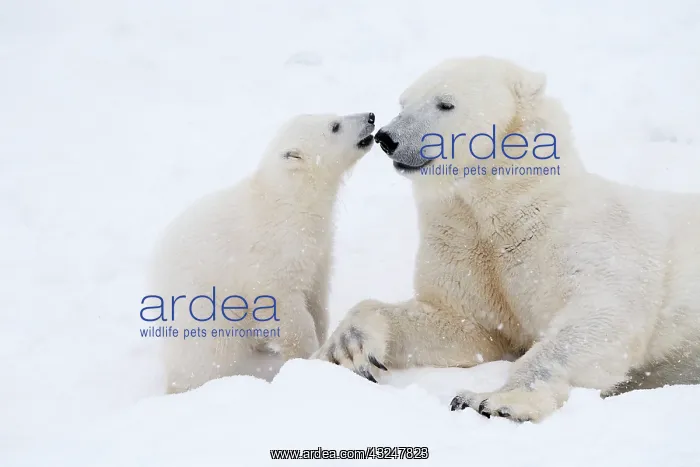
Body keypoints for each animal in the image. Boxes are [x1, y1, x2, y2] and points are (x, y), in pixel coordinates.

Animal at [148, 112, 375, 394]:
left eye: (335, 115)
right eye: (335, 126)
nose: (370, 116)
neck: (289, 201)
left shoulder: (319, 249)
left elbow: (316, 295)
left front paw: (324, 335)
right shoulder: (273, 254)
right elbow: (285, 309)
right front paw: (307, 356)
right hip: (200, 304)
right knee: (207, 352)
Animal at [312, 56, 700, 422]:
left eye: (445, 103)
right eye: (404, 102)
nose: (387, 137)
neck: (508, 204)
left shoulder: (586, 237)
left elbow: (602, 315)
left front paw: (491, 401)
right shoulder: (463, 244)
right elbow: (466, 324)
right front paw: (348, 349)